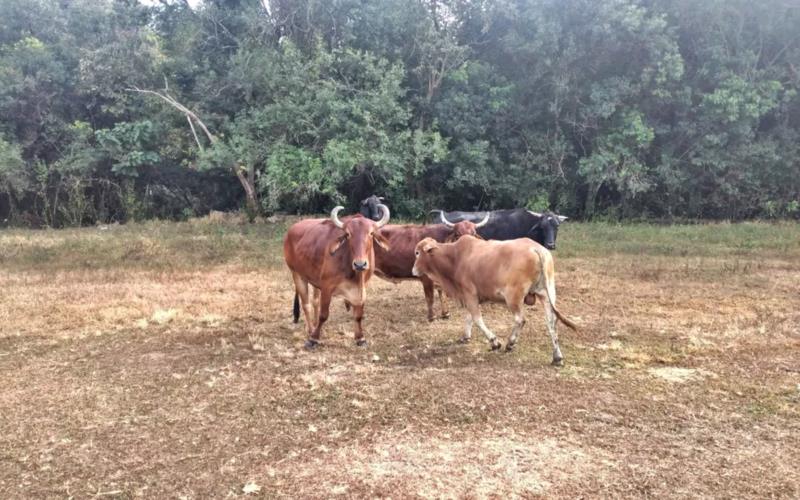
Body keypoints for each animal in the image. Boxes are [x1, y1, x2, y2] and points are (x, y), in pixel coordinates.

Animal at [284, 203, 390, 348]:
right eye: (348, 234)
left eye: (371, 233)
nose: (360, 264)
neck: (354, 274)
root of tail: (292, 230)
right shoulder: (327, 287)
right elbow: (324, 315)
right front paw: (314, 339)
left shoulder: (361, 289)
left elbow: (358, 315)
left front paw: (360, 338)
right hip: (297, 274)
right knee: (306, 304)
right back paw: (311, 330)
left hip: (314, 280)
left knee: (315, 302)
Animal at [412, 236, 576, 366]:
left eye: (417, 253)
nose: (413, 271)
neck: (455, 258)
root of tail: (536, 249)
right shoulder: (467, 296)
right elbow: (469, 318)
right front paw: (465, 336)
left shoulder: (470, 294)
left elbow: (477, 319)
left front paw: (494, 342)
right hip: (547, 293)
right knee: (551, 322)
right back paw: (557, 357)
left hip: (513, 297)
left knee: (520, 319)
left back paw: (510, 343)